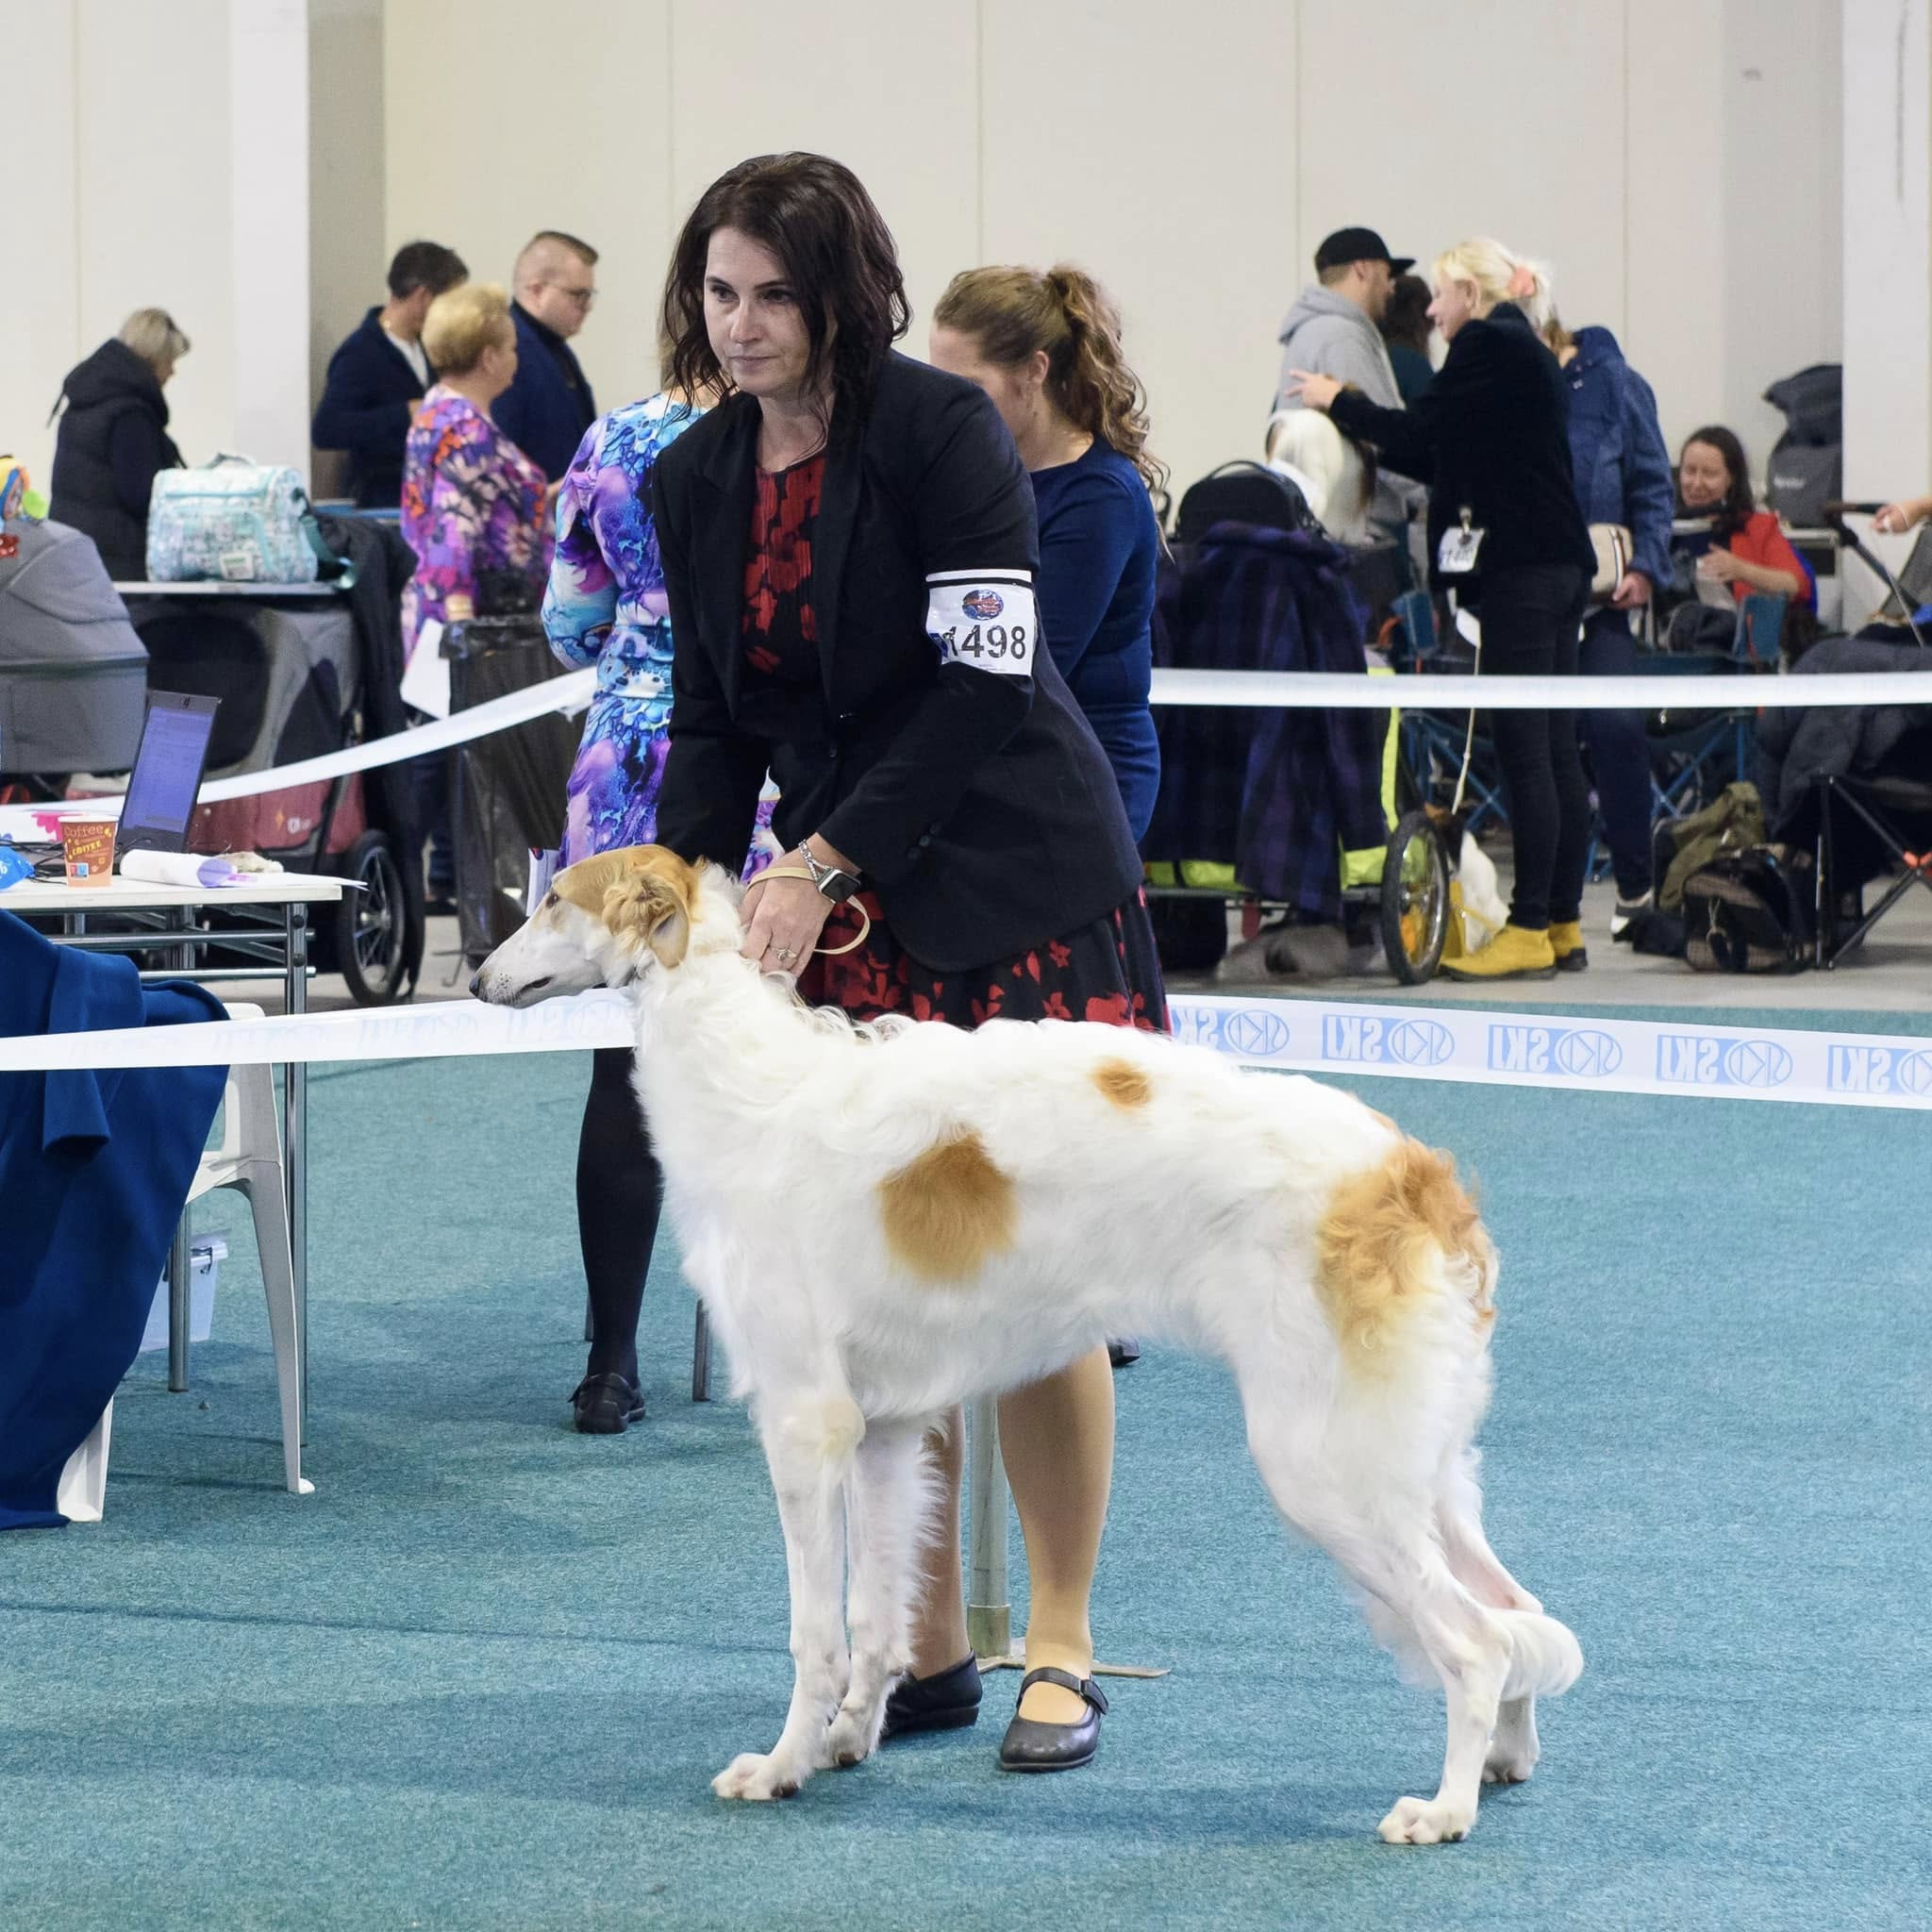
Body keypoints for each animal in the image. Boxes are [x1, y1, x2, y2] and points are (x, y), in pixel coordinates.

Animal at [475, 846, 1576, 1839]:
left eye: (554, 899)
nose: (479, 980)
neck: (746, 1080)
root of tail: (1411, 1174)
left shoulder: (802, 1422)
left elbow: (814, 1631)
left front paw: (781, 1765)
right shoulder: (883, 1432)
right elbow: (874, 1622)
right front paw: (846, 1741)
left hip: (1323, 1464)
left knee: (1478, 1642)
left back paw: (1443, 1809)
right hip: (1417, 1462)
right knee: (1516, 1610)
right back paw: (1505, 1762)